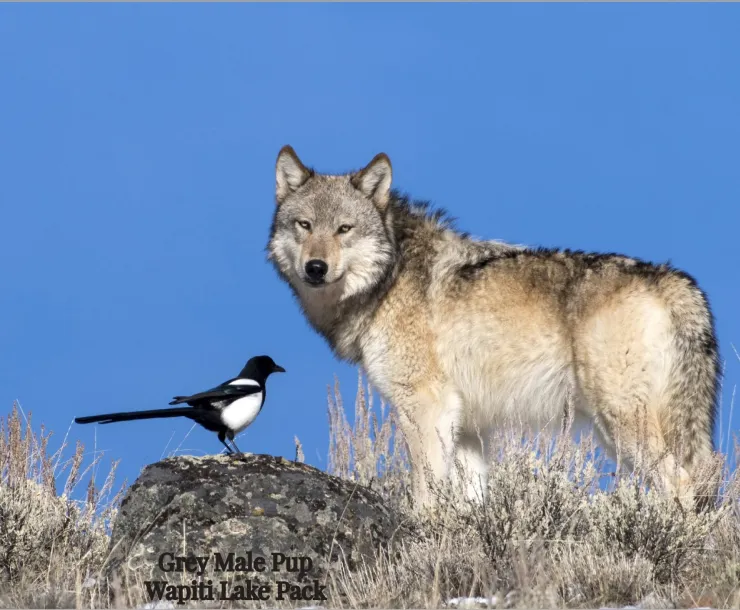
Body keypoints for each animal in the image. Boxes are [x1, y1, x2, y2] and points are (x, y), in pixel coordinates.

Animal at [266, 145, 720, 508]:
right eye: (304, 225)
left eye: (344, 229)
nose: (316, 268)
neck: (389, 279)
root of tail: (673, 280)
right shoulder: (468, 425)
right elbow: (472, 501)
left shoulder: (425, 406)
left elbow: (425, 493)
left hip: (621, 423)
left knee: (683, 486)